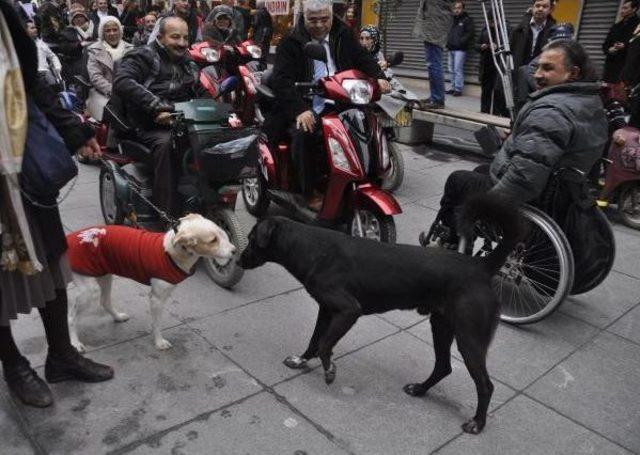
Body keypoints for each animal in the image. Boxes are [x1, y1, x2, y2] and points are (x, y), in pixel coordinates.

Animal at [66, 215, 236, 352]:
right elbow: (157, 324)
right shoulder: (157, 298)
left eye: (222, 234)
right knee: (71, 318)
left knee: (105, 301)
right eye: (213, 240)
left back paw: (117, 317)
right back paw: (74, 343)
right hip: (89, 289)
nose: (235, 251)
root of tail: (68, 238)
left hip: (104, 276)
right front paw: (159, 342)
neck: (172, 253)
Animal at [239, 194, 520, 432]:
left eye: (252, 239)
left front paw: (329, 370)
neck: (312, 248)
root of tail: (481, 265)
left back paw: (477, 423)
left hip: (469, 336)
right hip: (441, 325)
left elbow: (325, 345)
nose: (239, 259)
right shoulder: (327, 310)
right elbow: (315, 341)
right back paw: (420, 389)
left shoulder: (348, 310)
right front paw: (300, 360)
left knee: (485, 384)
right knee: (443, 366)